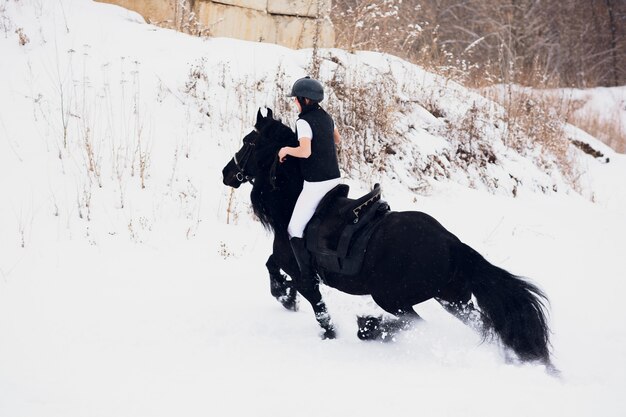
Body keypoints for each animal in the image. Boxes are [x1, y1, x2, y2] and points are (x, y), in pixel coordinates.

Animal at [221, 107, 552, 364]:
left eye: (249, 141)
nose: (226, 173)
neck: (290, 200)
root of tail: (452, 244)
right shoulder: (288, 263)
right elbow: (272, 267)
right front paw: (287, 296)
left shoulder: (302, 271)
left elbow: (315, 305)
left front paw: (307, 314)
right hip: (451, 299)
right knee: (482, 324)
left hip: (392, 297)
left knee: (414, 323)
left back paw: (369, 327)